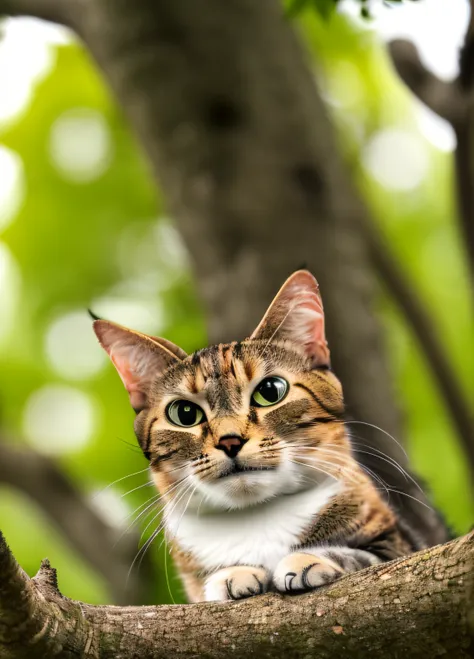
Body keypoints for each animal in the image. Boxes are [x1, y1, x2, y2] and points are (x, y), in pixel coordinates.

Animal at [92, 270, 422, 604]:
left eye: (270, 391)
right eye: (184, 414)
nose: (230, 440)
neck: (257, 517)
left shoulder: (402, 545)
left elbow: (364, 557)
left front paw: (309, 558)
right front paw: (232, 574)